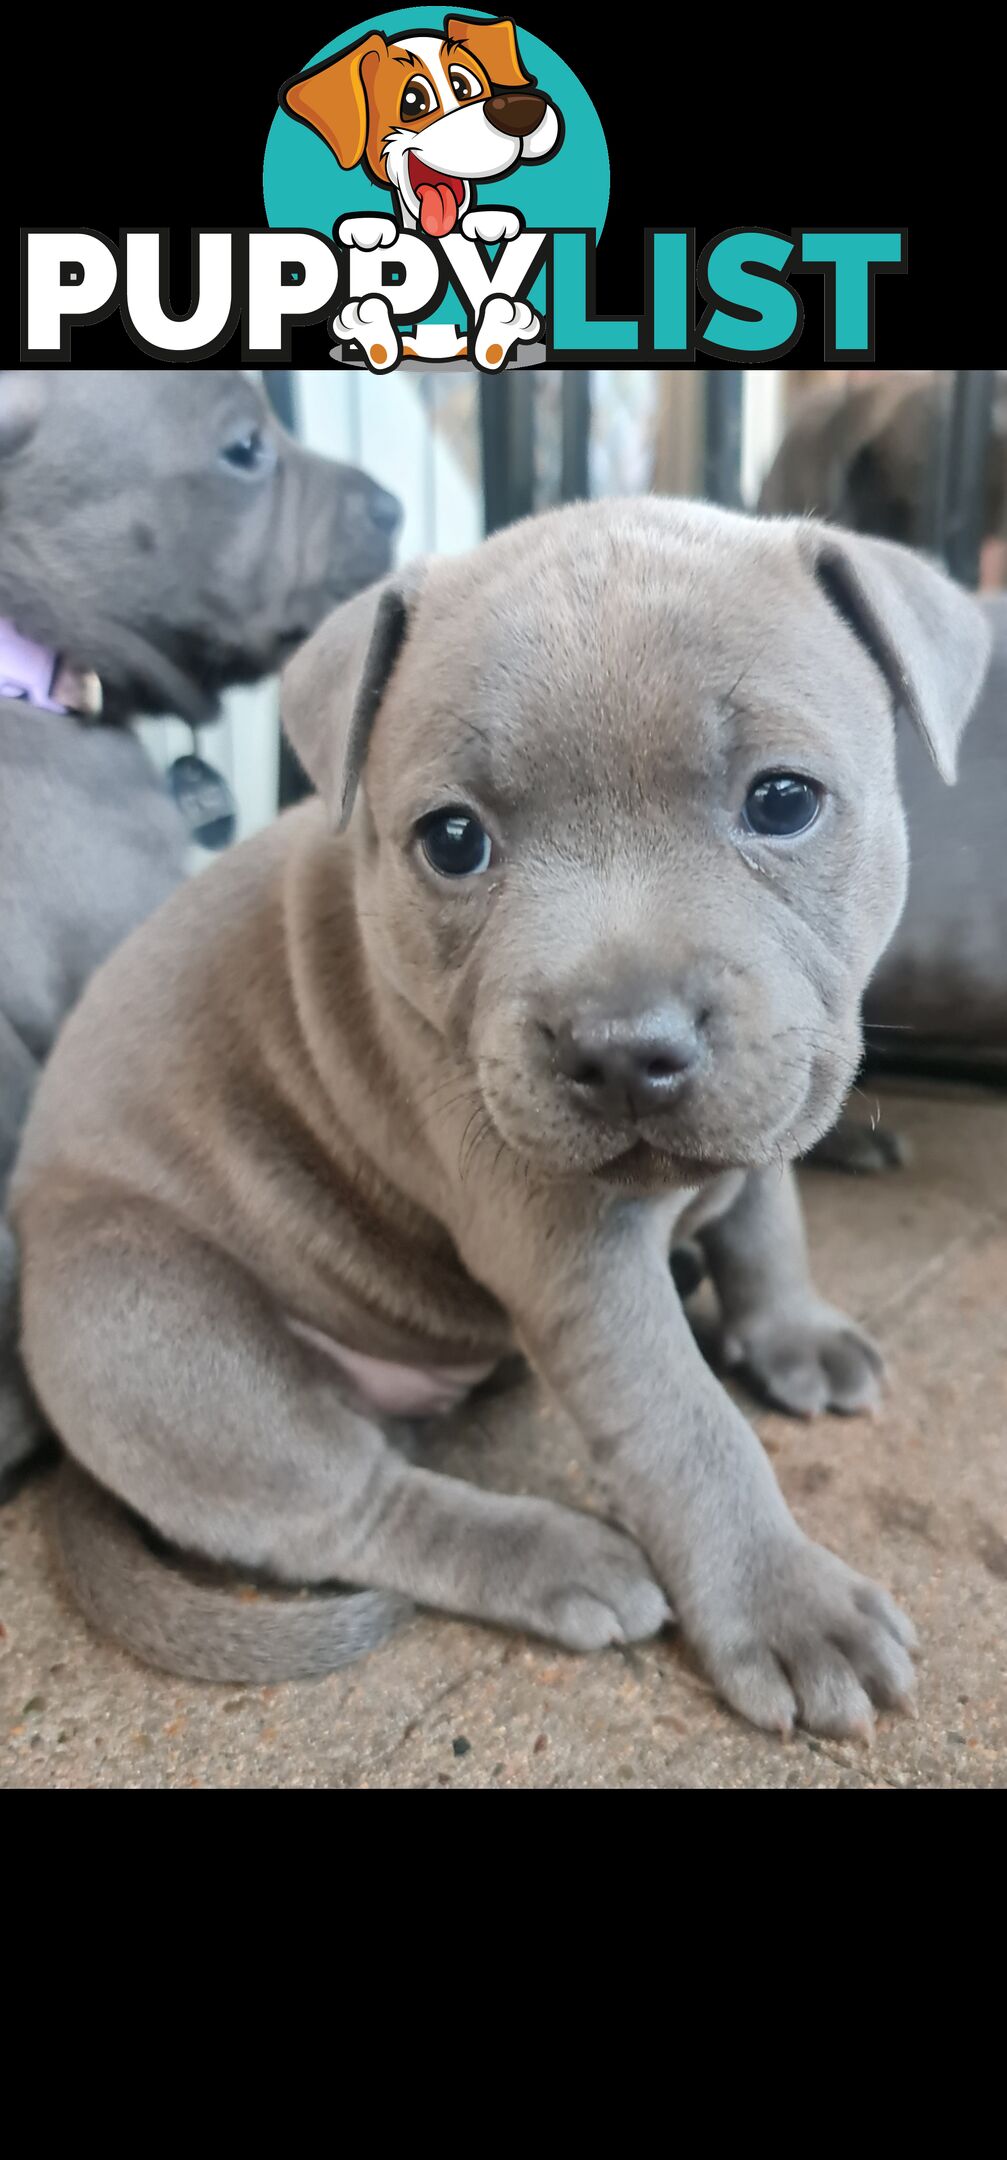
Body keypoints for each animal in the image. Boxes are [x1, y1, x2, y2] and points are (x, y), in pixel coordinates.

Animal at [11, 501, 985, 1736]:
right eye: (451, 840)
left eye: (782, 800)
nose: (619, 1050)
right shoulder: (568, 1253)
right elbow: (684, 1428)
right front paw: (783, 1602)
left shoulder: (776, 1084)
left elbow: (768, 1225)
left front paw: (790, 1333)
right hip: (142, 1320)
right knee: (346, 1507)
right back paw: (558, 1559)